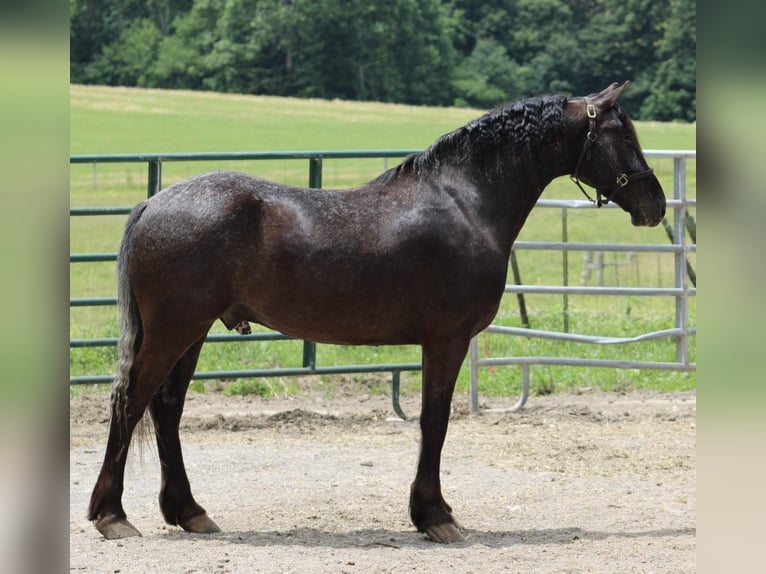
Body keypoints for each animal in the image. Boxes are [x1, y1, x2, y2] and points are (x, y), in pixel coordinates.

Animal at [88, 82, 664, 544]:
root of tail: (154, 202)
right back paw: (112, 515)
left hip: (193, 333)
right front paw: (435, 517)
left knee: (166, 409)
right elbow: (435, 421)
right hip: (173, 331)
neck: (465, 201)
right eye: (623, 135)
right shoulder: (447, 340)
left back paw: (189, 512)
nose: (656, 204)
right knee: (129, 403)